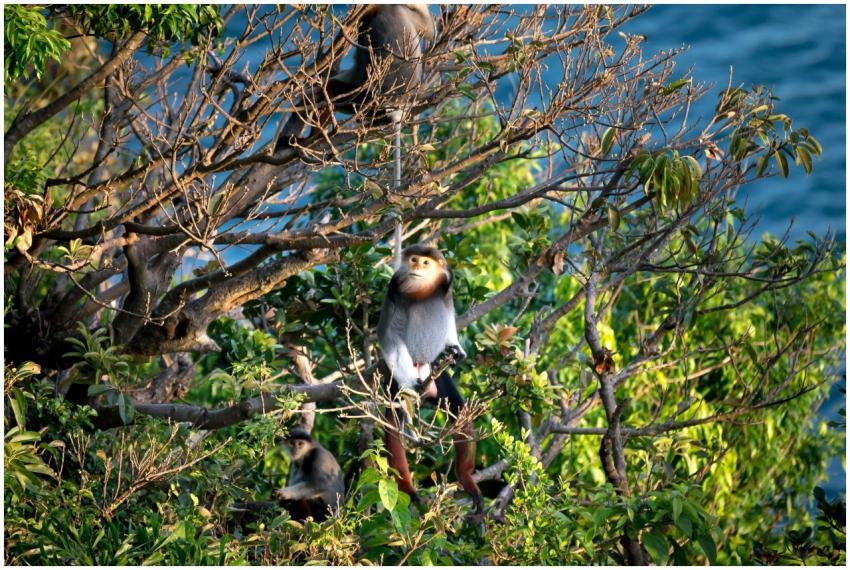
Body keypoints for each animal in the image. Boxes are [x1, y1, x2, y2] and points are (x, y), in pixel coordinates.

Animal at [376, 243, 484, 514]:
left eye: (425, 263)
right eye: (414, 260)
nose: (416, 267)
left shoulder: (447, 285)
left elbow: (449, 318)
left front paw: (456, 349)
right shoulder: (394, 288)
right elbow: (389, 336)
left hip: (439, 379)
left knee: (459, 409)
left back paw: (466, 478)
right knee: (393, 421)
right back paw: (408, 489)